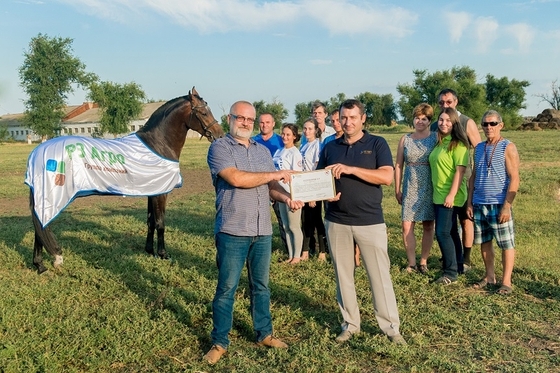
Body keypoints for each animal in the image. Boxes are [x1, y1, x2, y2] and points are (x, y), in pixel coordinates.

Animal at [25, 87, 223, 274]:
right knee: (42, 225)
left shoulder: (152, 190)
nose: (219, 135)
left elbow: (151, 221)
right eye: (203, 112)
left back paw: (40, 265)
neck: (158, 144)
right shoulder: (161, 192)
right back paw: (47, 262)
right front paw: (163, 254)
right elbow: (160, 223)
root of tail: (38, 152)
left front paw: (149, 250)